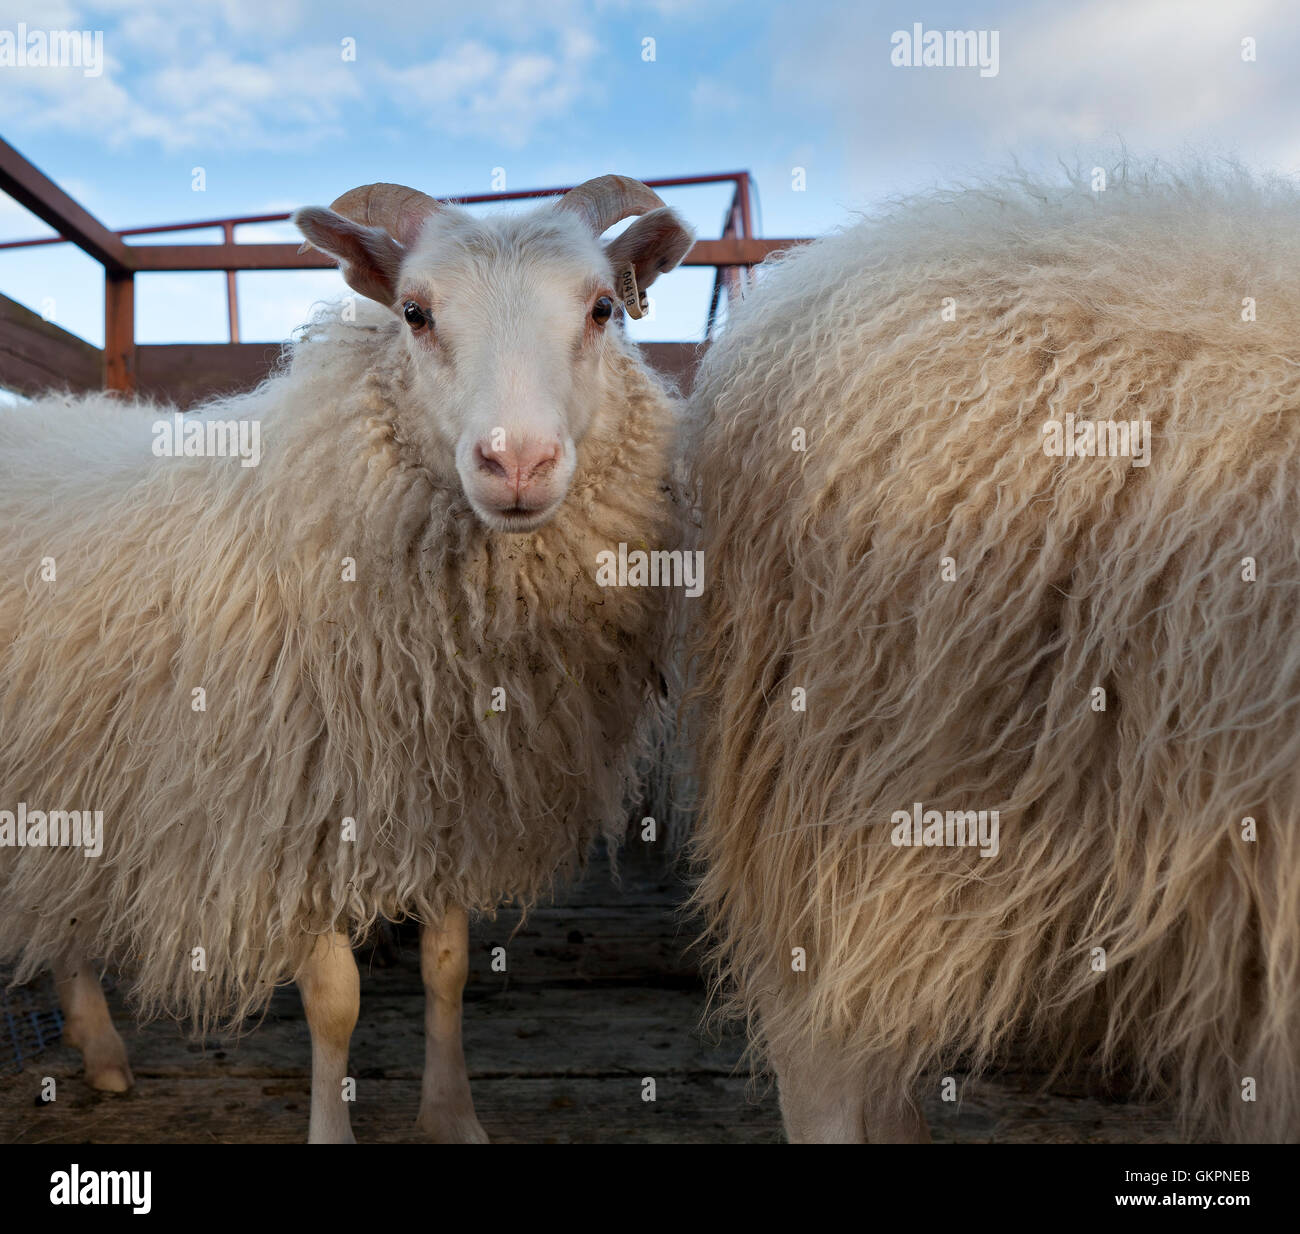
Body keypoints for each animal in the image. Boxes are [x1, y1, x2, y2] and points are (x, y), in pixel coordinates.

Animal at [0, 172, 696, 1144]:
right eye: (414, 312)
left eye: (603, 309)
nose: (517, 461)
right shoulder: (300, 805)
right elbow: (335, 1001)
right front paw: (334, 1127)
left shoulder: (450, 785)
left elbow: (447, 965)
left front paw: (453, 1117)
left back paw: (100, 1052)